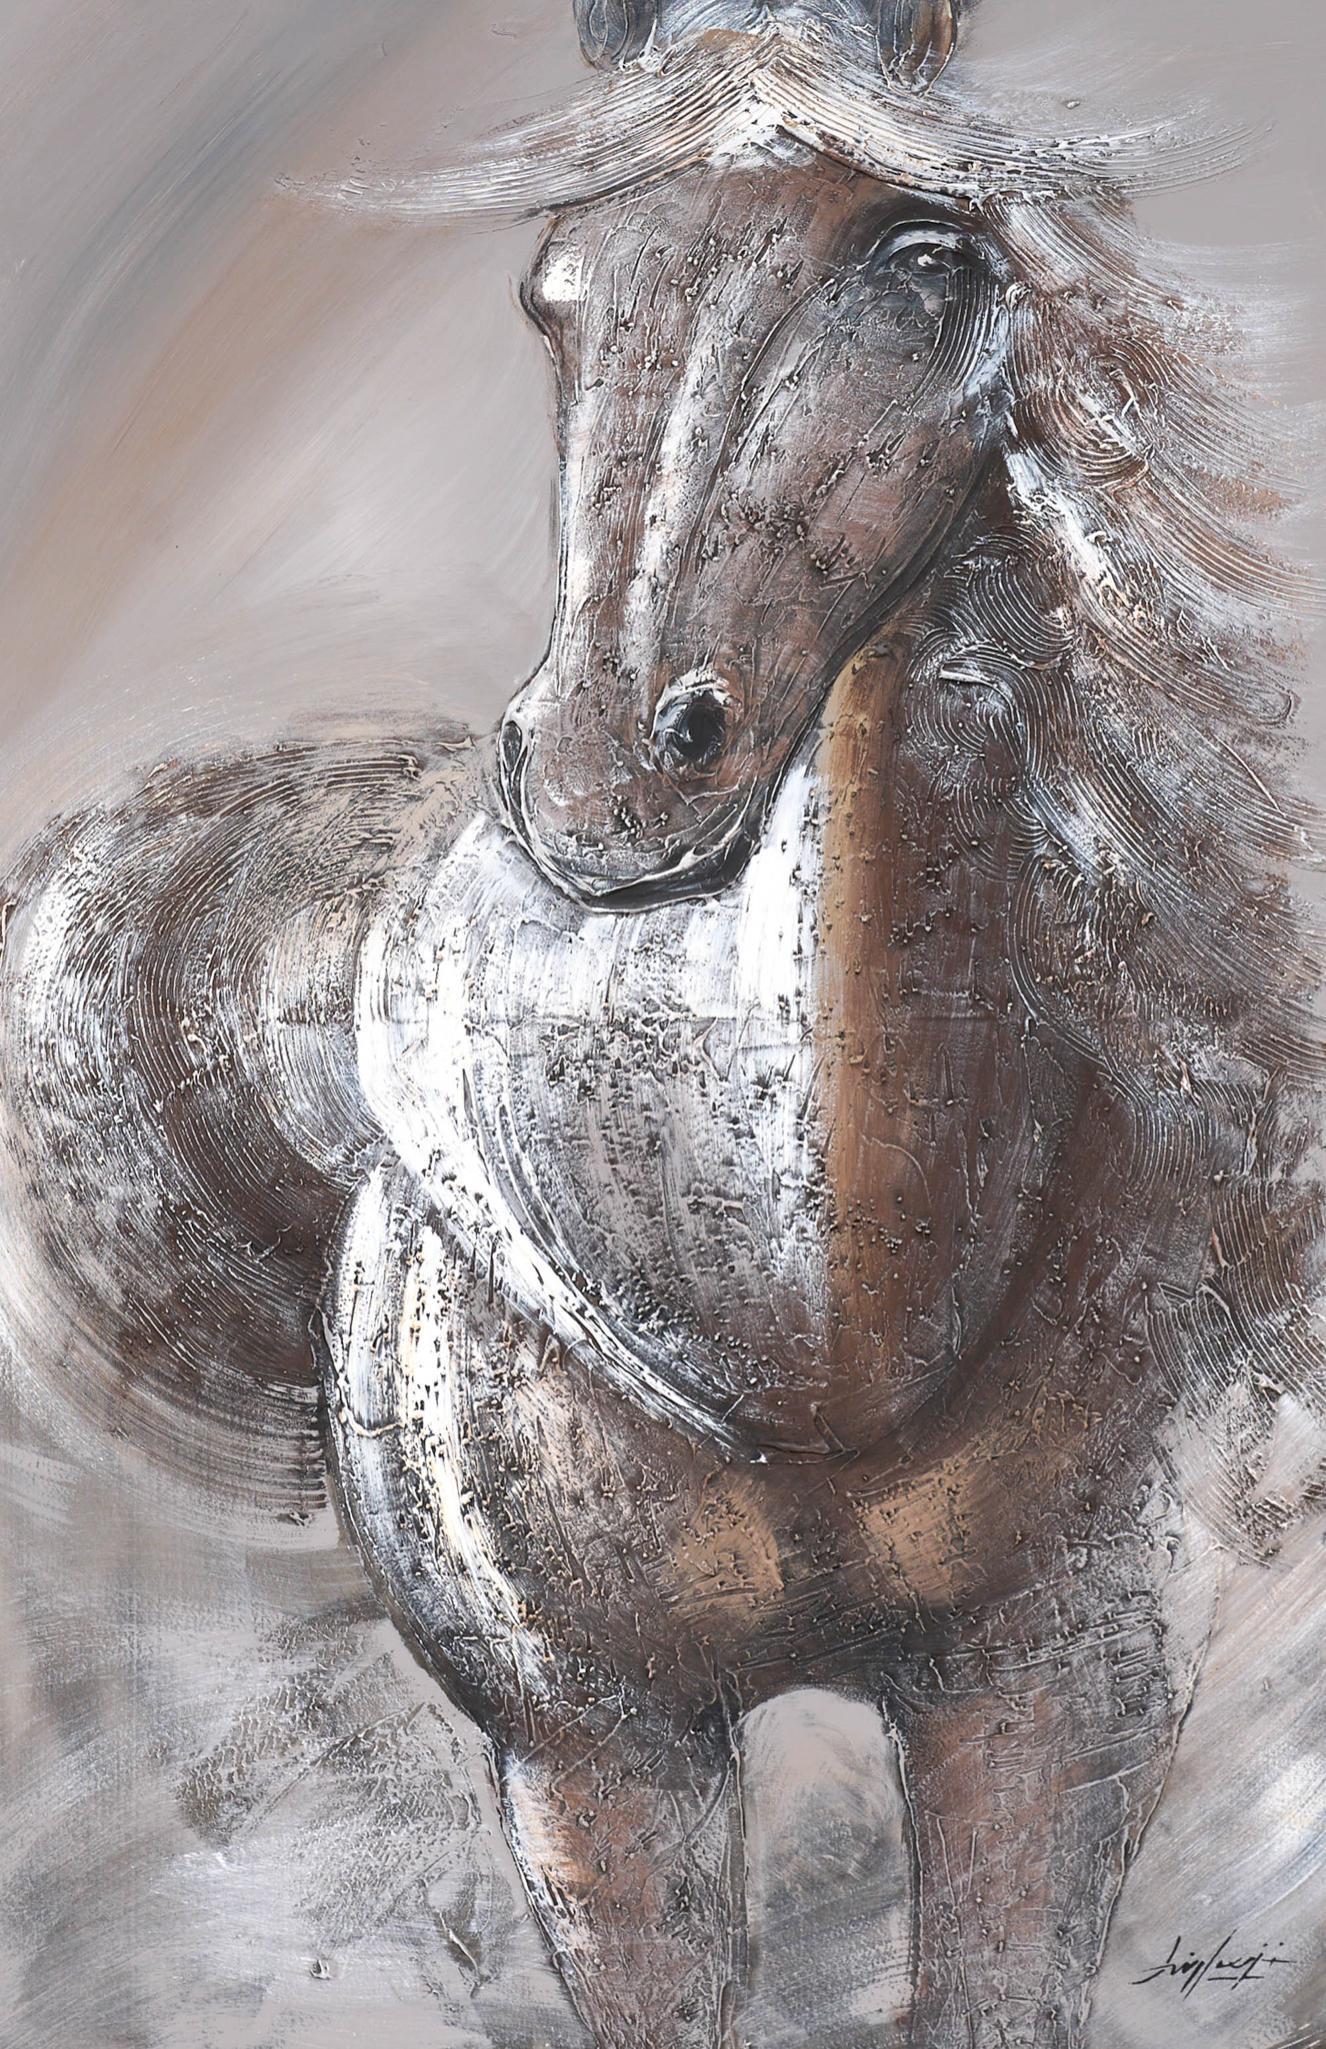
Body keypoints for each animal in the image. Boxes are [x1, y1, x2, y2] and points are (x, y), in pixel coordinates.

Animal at [1, 5, 1322, 2046]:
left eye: (920, 261)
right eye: (558, 286)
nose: (612, 764)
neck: (811, 1309)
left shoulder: (1052, 1705)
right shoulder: (597, 1763)